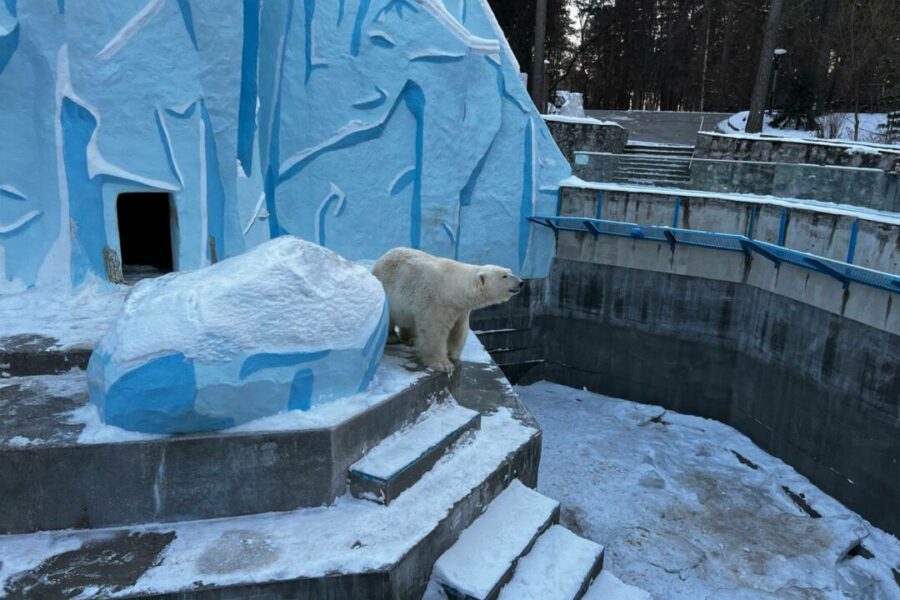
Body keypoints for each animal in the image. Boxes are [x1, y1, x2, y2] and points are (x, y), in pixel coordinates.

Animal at [372, 247, 528, 370]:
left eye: (510, 271)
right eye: (504, 276)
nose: (521, 282)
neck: (453, 288)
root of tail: (384, 256)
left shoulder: (460, 309)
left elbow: (458, 330)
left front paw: (453, 355)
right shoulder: (436, 301)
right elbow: (434, 331)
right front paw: (443, 364)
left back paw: (410, 338)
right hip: (388, 291)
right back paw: (392, 337)